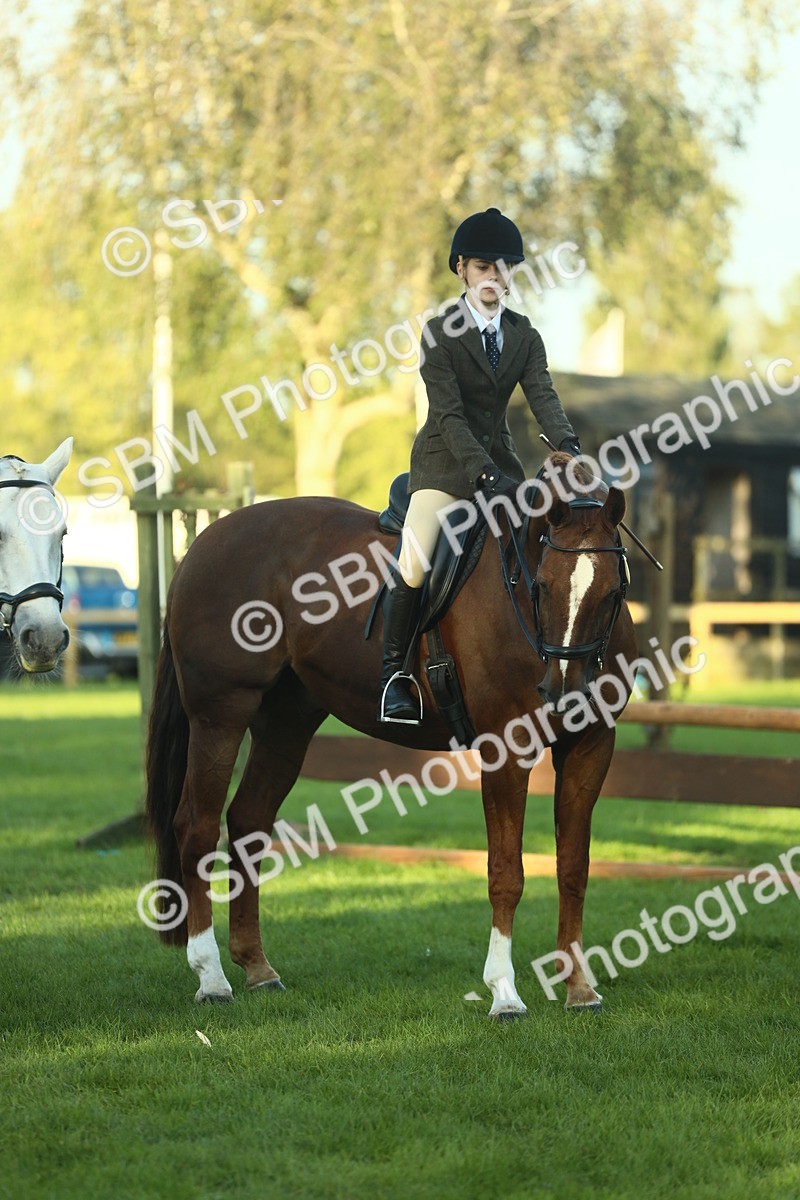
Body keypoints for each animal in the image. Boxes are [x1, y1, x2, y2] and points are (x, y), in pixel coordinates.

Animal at [145, 453, 637, 1017]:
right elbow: (506, 874)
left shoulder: (591, 746)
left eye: (611, 592)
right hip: (220, 715)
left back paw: (257, 969)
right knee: (198, 828)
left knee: (248, 822)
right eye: (543, 587)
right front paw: (505, 993)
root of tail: (205, 542)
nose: (563, 693)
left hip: (285, 725)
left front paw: (579, 988)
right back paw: (211, 978)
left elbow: (573, 867)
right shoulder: (506, 749)